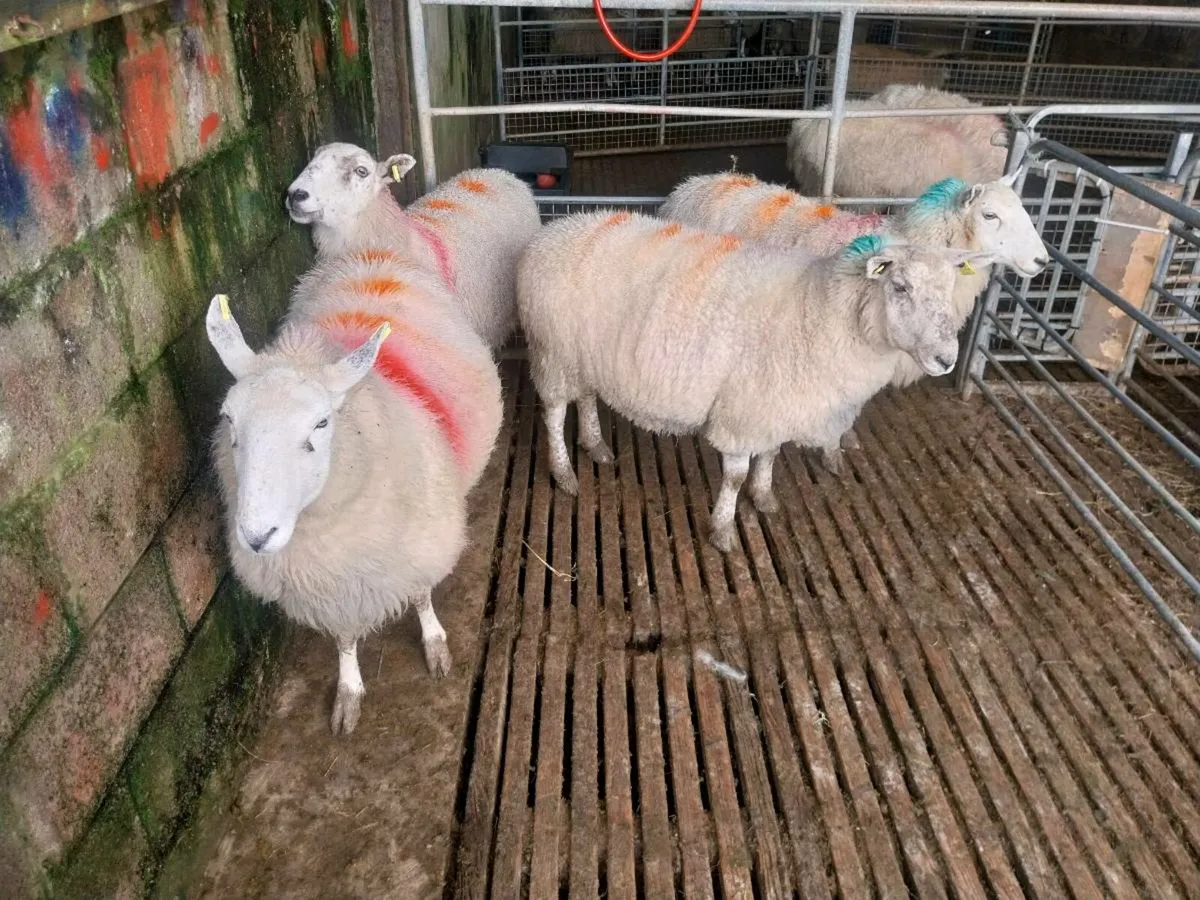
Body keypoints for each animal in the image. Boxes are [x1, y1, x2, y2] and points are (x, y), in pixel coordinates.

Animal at [205, 242, 503, 735]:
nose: (256, 536)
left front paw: (435, 644)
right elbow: (345, 640)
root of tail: (368, 253)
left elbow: (421, 595)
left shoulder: (422, 545)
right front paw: (349, 691)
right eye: (228, 418)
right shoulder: (332, 592)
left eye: (322, 422)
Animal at [517, 214, 992, 552]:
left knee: (586, 397)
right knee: (555, 413)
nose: (947, 359)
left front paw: (764, 498)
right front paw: (724, 529)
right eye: (900, 286)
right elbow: (735, 476)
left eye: (950, 287)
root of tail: (550, 232)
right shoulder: (745, 410)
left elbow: (770, 456)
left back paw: (595, 444)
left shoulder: (774, 403)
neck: (820, 313)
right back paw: (564, 471)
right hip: (552, 351)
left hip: (583, 355)